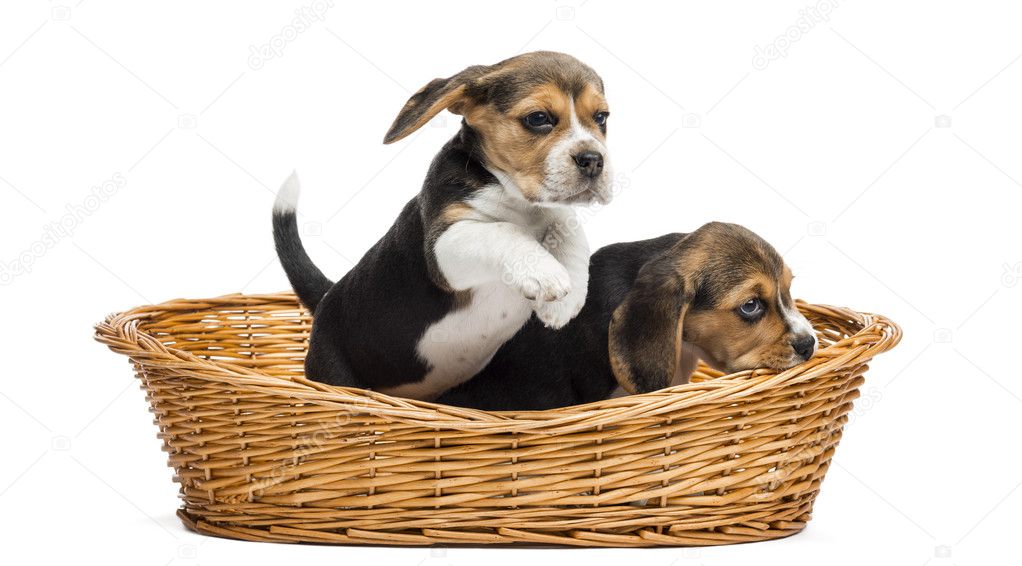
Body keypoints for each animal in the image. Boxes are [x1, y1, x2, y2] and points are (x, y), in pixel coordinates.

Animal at [269, 51, 613, 396]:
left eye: (601, 118)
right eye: (538, 118)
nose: (593, 160)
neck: (516, 199)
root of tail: (326, 298)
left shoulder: (552, 212)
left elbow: (568, 224)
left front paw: (566, 300)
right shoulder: (443, 247)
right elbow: (502, 230)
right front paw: (545, 274)